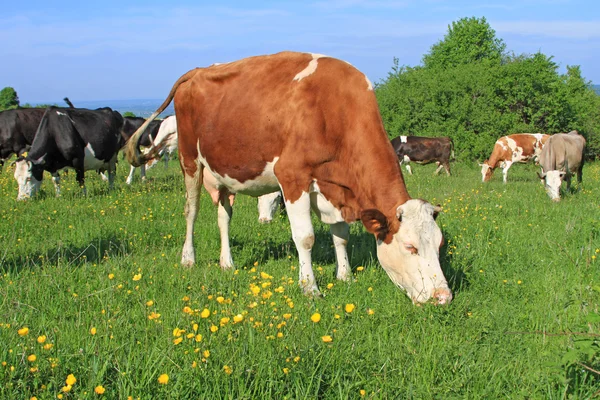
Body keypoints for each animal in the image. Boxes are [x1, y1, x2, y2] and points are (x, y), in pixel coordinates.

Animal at [126, 51, 452, 304]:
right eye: (410, 247)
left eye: (439, 245)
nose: (444, 297)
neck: (333, 108)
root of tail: (197, 71)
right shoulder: (293, 177)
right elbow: (305, 237)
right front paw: (310, 288)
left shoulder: (333, 188)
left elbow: (341, 236)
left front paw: (345, 276)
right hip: (189, 160)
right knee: (191, 211)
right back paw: (189, 259)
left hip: (224, 171)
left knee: (223, 216)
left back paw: (227, 263)